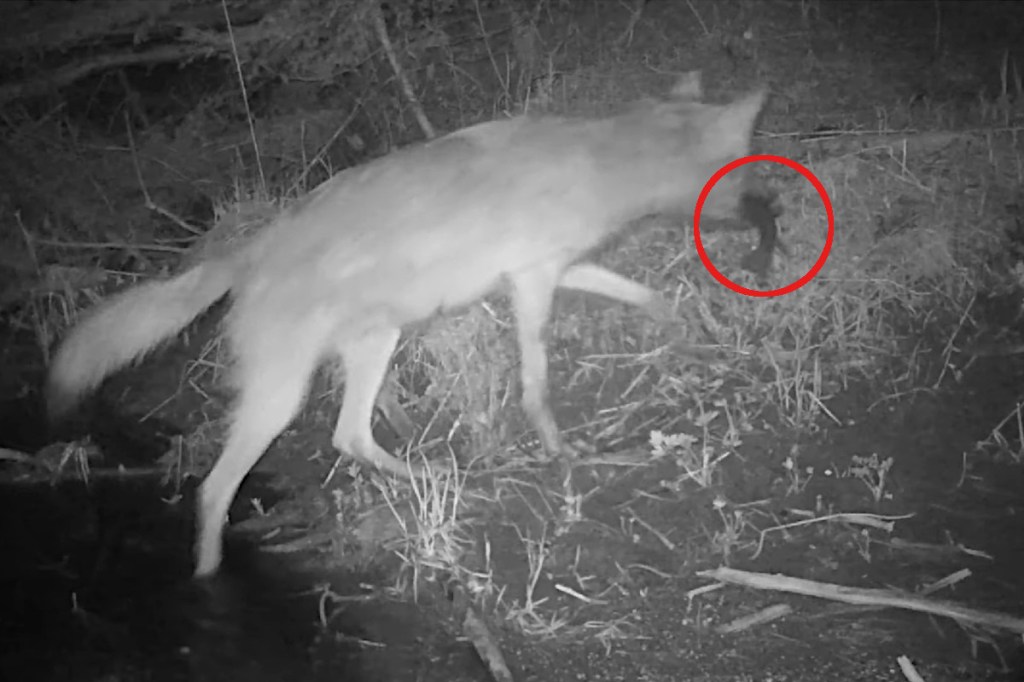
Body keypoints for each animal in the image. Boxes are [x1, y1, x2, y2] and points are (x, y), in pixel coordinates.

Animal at [47, 71, 777, 577]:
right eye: (744, 163)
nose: (767, 207)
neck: (606, 161)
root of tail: (249, 247)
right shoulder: (533, 281)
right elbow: (537, 380)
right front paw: (563, 451)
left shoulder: (552, 270)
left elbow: (643, 294)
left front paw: (685, 327)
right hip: (284, 396)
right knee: (216, 489)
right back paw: (208, 575)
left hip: (376, 346)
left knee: (350, 436)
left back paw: (429, 476)